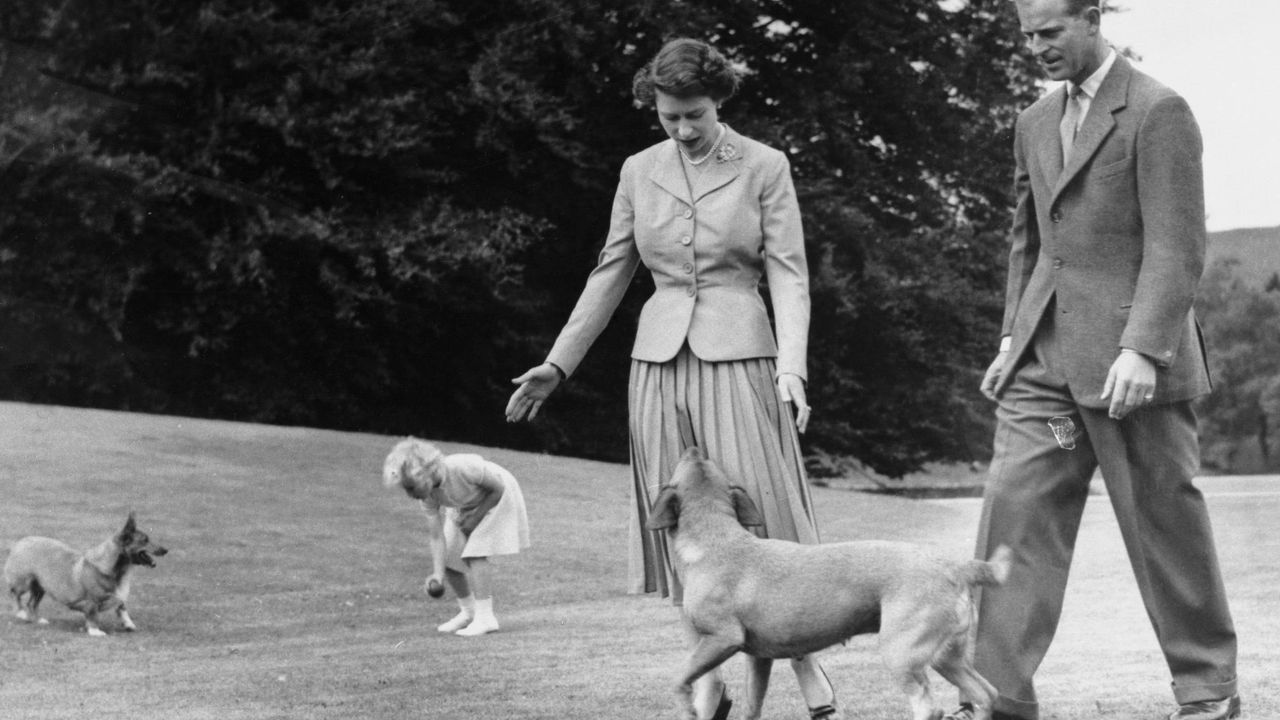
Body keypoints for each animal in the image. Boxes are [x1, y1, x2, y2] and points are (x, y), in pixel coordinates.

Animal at [4, 509, 167, 632]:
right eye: (145, 540)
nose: (166, 550)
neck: (117, 569)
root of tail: (20, 542)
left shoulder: (119, 598)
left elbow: (122, 609)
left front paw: (129, 625)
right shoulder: (92, 601)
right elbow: (93, 615)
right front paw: (95, 631)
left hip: (40, 587)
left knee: (31, 603)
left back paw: (36, 620)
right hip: (25, 582)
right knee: (14, 593)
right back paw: (21, 613)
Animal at [650, 445, 1008, 717]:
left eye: (685, 464)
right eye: (703, 463)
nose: (693, 447)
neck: (714, 537)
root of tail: (957, 567)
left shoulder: (722, 639)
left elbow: (679, 680)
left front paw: (688, 707)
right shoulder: (759, 657)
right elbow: (753, 705)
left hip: (901, 653)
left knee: (930, 707)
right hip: (947, 656)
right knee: (986, 693)